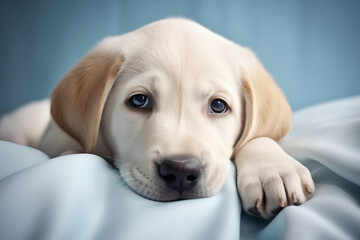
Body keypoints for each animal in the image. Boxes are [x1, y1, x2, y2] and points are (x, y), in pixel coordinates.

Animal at [0, 18, 316, 218]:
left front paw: (273, 169)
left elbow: (259, 136)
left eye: (218, 106)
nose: (181, 171)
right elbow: (68, 149)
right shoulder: (55, 133)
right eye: (139, 101)